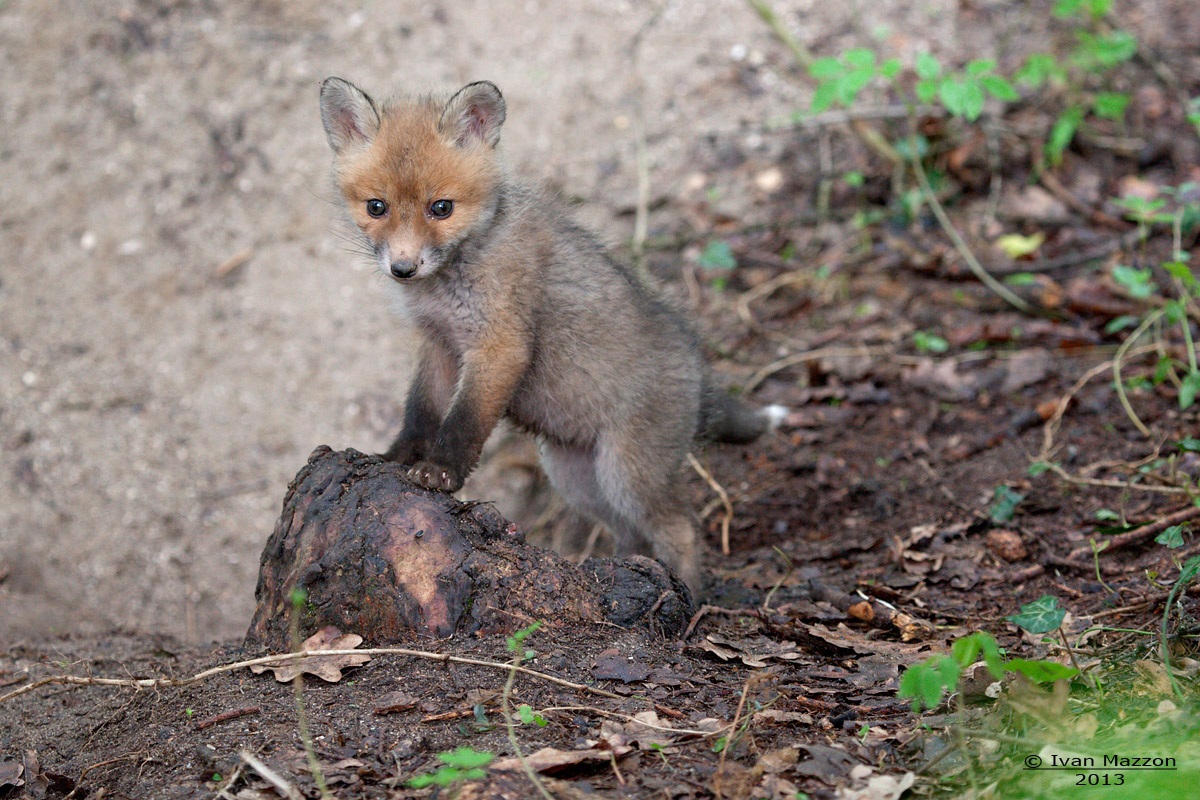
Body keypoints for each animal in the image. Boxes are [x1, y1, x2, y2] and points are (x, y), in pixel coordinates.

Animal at [318, 77, 781, 594]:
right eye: (376, 207)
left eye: (441, 208)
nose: (402, 268)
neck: (452, 280)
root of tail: (698, 367)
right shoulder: (439, 345)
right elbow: (421, 412)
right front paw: (394, 457)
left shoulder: (499, 345)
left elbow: (463, 421)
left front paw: (441, 471)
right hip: (578, 479)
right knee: (631, 532)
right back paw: (622, 574)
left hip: (628, 473)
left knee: (680, 528)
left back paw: (689, 599)